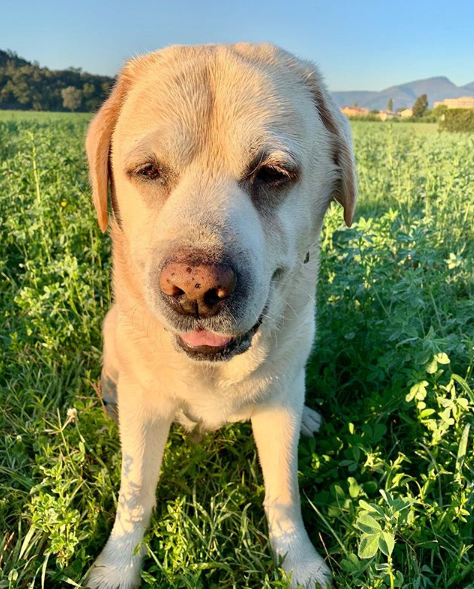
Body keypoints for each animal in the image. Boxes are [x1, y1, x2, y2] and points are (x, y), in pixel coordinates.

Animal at [86, 42, 356, 588]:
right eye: (148, 171)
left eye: (272, 174)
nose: (194, 289)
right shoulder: (145, 409)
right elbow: (134, 495)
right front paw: (117, 566)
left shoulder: (277, 411)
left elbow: (283, 491)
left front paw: (299, 563)